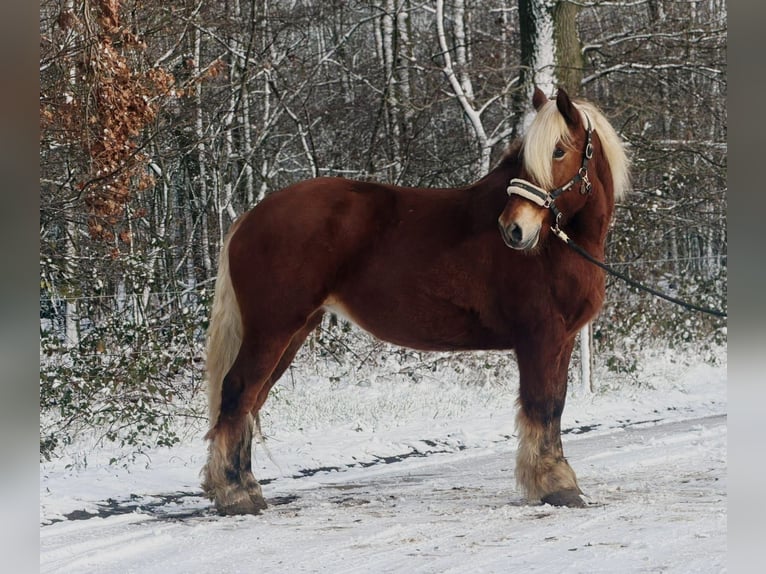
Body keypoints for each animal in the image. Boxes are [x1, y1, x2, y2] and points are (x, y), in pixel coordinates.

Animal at [201, 87, 630, 515]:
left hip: (292, 332)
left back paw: (241, 487)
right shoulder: (540, 337)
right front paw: (556, 485)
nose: (514, 229)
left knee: (250, 401)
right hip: (272, 330)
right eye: (527, 157)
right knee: (238, 392)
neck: (559, 247)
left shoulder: (562, 340)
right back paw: (237, 493)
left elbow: (554, 406)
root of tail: (250, 218)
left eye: (559, 151)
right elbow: (542, 407)